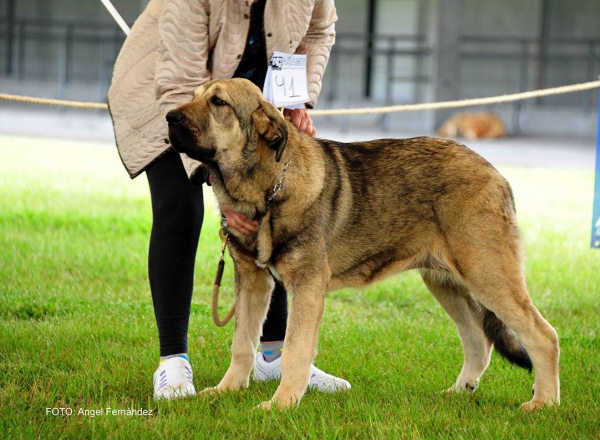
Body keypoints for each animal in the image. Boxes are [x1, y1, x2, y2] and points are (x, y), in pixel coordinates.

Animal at [164, 77, 556, 410]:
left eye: (218, 102)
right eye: (196, 95)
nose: (168, 117)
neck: (269, 187)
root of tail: (496, 174)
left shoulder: (306, 286)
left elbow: (294, 350)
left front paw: (282, 404)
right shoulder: (252, 282)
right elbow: (242, 344)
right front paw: (227, 390)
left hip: (488, 275)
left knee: (543, 335)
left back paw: (543, 403)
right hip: (446, 282)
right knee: (478, 341)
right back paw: (459, 392)